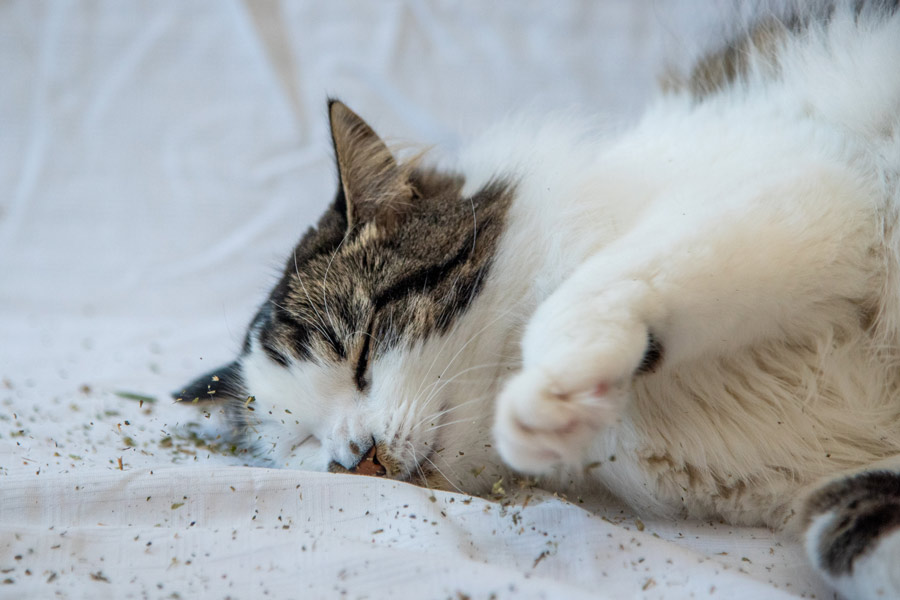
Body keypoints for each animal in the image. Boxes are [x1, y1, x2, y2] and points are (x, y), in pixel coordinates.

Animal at [178, 4, 900, 600]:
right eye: (306, 443)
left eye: (361, 353)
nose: (360, 457)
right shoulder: (838, 488)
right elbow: (852, 532)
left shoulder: (815, 178)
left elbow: (585, 296)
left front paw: (544, 395)